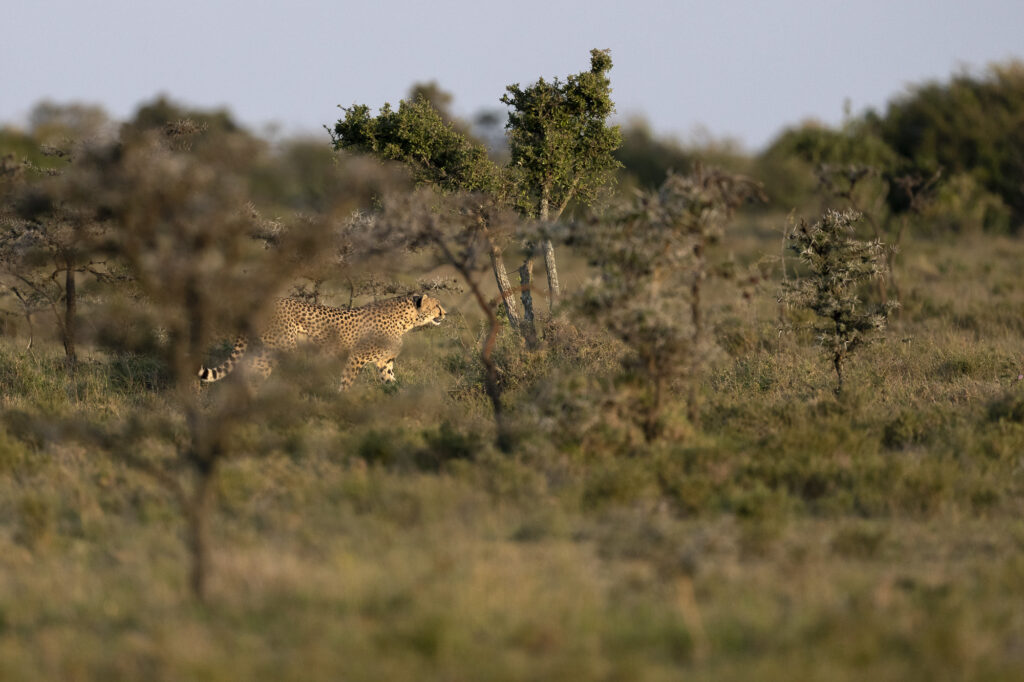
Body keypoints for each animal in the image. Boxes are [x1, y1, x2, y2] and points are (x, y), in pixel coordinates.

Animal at [197, 293, 446, 389]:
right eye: (437, 305)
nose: (446, 313)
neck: (407, 320)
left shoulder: (385, 363)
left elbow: (392, 381)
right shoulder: (356, 357)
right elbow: (346, 382)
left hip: (265, 348)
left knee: (250, 369)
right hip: (281, 347)